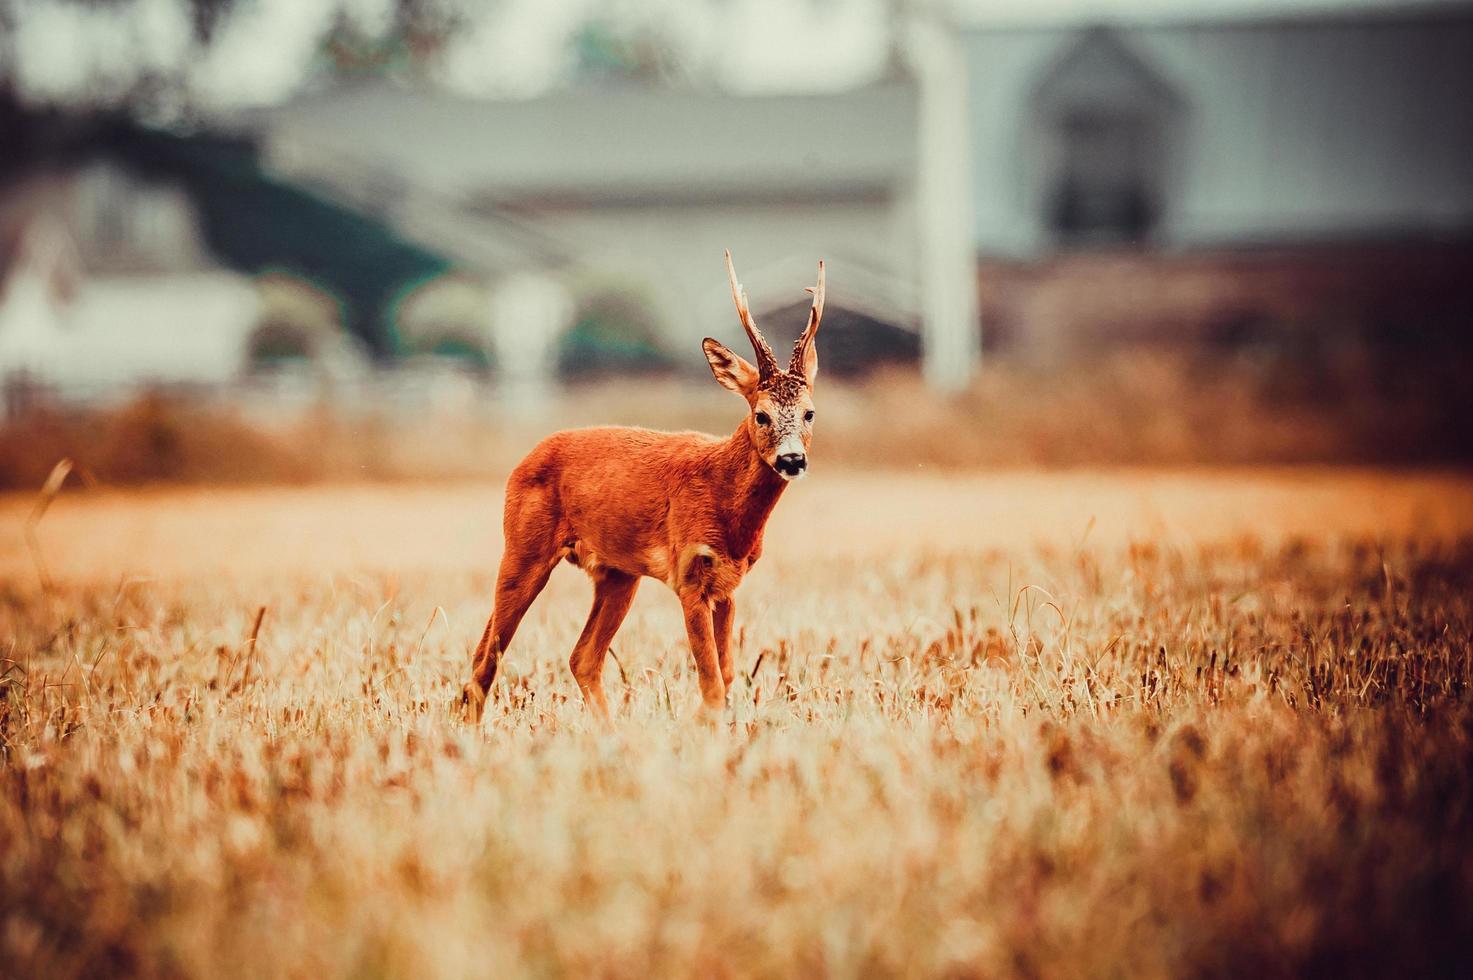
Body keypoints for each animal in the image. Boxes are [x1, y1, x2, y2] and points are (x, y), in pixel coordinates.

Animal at [459, 250, 824, 725]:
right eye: (760, 414)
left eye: (810, 413)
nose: (792, 460)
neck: (726, 503)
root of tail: (525, 459)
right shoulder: (690, 572)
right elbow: (711, 684)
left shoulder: (727, 583)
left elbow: (727, 676)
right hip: (524, 547)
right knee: (486, 656)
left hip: (617, 573)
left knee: (582, 657)